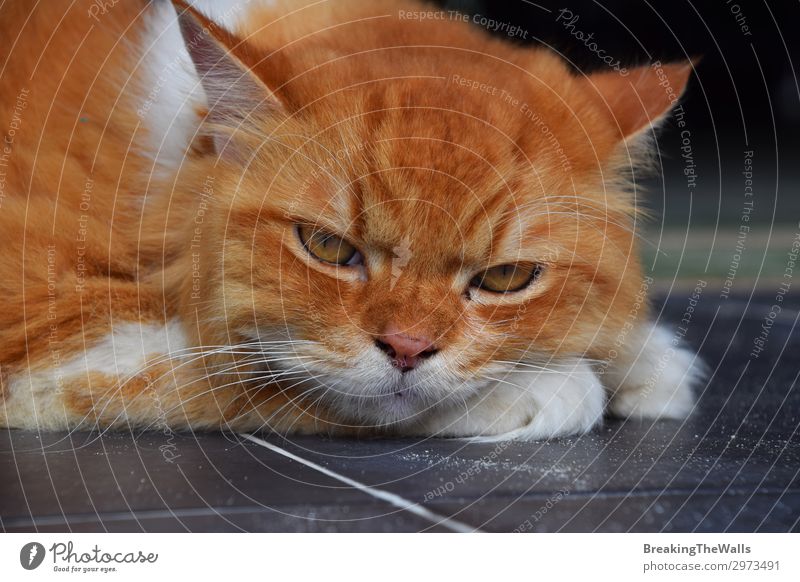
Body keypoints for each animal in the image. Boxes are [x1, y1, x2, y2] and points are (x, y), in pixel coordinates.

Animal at [0, 0, 700, 438]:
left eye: (505, 279)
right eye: (328, 248)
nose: (408, 350)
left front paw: (641, 359)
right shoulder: (50, 334)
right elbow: (256, 381)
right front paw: (556, 386)